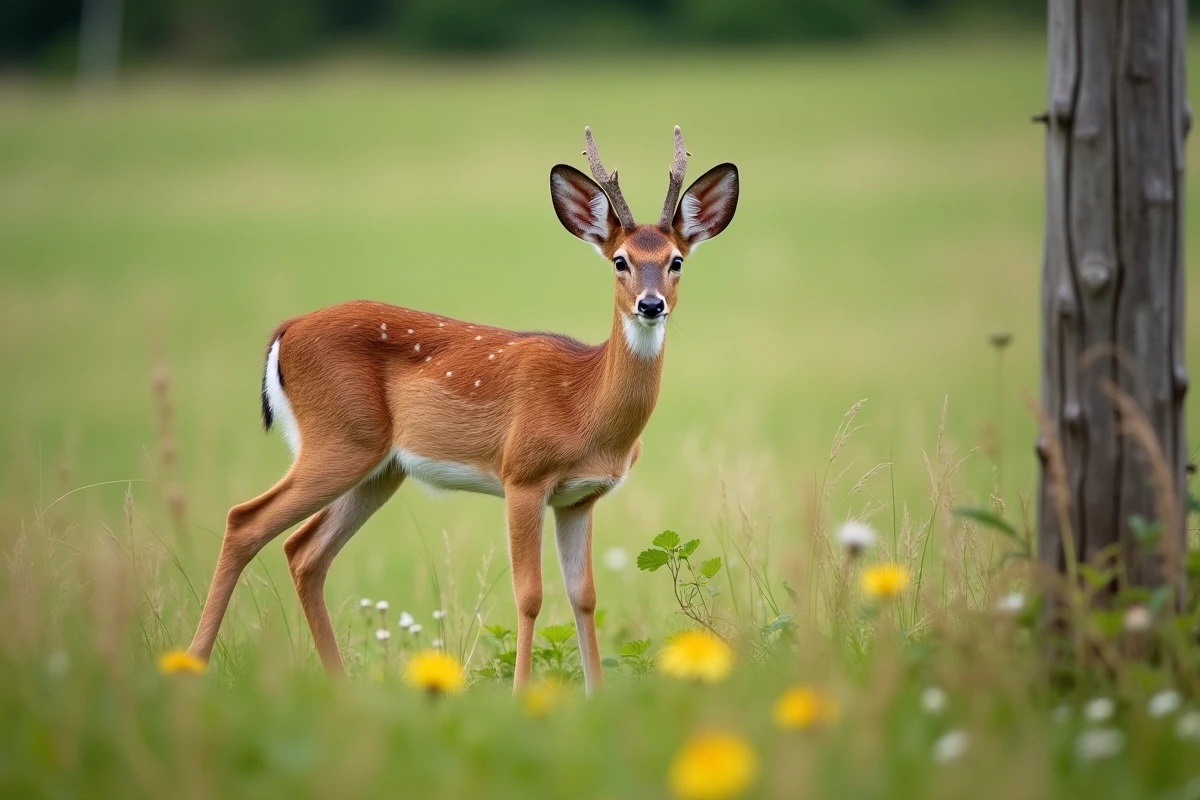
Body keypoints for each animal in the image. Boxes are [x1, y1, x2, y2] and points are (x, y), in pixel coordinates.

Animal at [185, 126, 739, 694]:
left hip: (379, 468)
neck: (585, 405)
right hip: (339, 440)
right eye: (620, 261)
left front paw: (595, 695)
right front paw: (521, 695)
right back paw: (191, 664)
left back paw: (340, 687)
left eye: (676, 260)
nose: (651, 305)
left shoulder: (579, 498)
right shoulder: (522, 474)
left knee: (304, 552)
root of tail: (285, 331)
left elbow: (584, 596)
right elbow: (530, 595)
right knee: (245, 520)